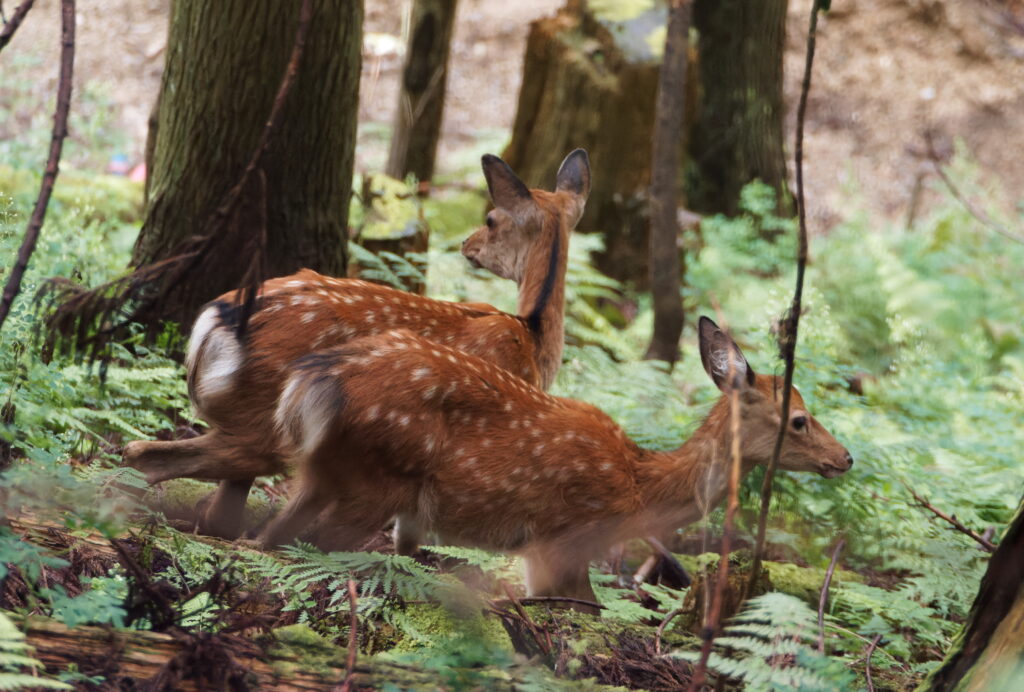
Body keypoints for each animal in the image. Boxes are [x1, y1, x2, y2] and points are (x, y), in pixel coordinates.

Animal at [123, 150, 593, 540]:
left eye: (492, 219)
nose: (466, 244)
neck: (532, 341)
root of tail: (211, 326)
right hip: (268, 424)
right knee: (167, 462)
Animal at [262, 315, 847, 610]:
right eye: (799, 419)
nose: (846, 457)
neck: (639, 488)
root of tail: (314, 379)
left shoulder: (536, 551)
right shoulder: (563, 538)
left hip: (321, 475)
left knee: (269, 538)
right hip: (375, 479)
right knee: (310, 549)